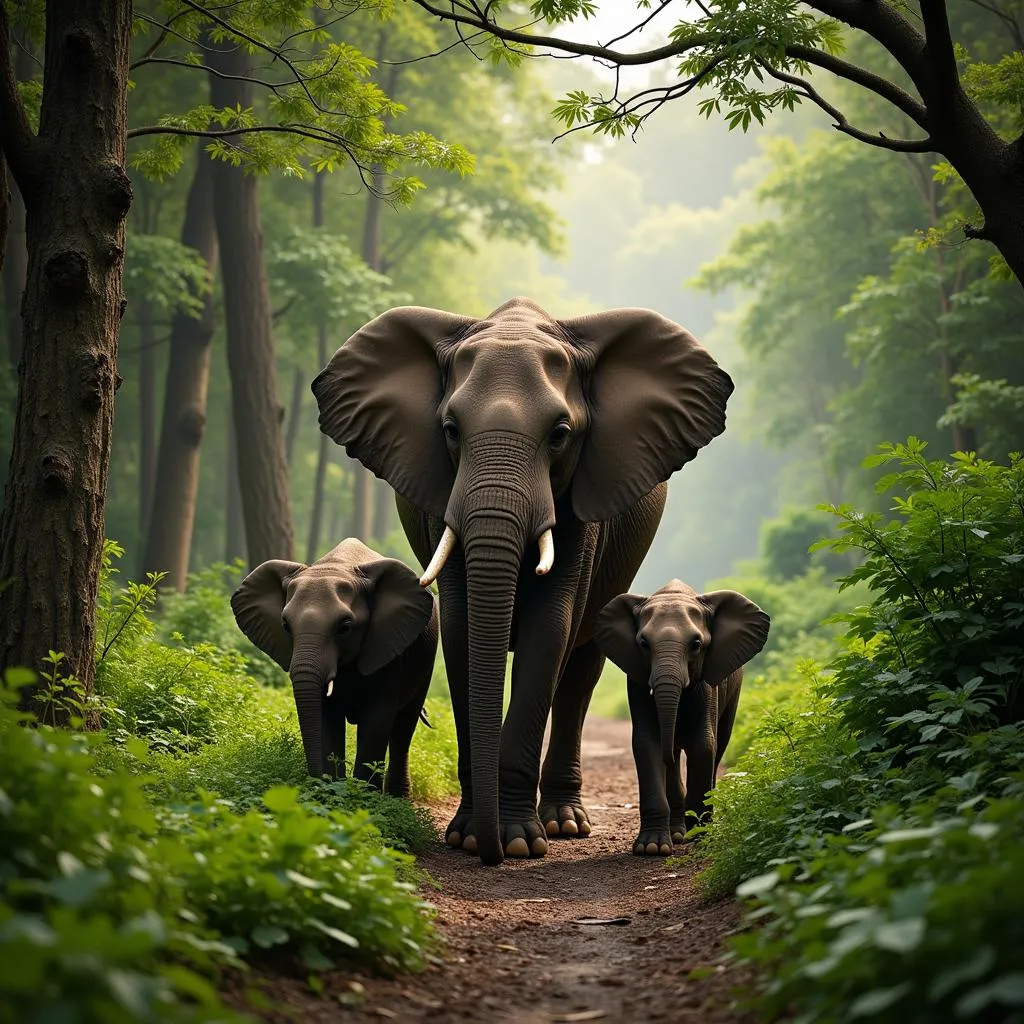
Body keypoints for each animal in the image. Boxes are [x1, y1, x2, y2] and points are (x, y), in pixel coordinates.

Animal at [230, 540, 438, 794]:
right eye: (285, 626)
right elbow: (325, 716)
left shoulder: (388, 645)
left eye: (345, 627)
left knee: (404, 727)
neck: (338, 564)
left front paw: (362, 797)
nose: (314, 784)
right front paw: (332, 793)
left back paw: (398, 797)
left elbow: (377, 719)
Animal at [307, 296, 733, 864]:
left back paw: (565, 824)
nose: (488, 853)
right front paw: (467, 837)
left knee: (581, 669)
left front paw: (517, 842)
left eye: (560, 435)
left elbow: (549, 629)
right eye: (450, 430)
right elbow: (461, 628)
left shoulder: (581, 503)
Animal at [593, 577, 770, 856]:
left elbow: (703, 745)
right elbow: (647, 744)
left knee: (720, 744)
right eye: (644, 644)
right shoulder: (637, 682)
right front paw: (652, 848)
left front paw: (699, 839)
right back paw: (677, 833)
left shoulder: (707, 684)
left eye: (696, 645)